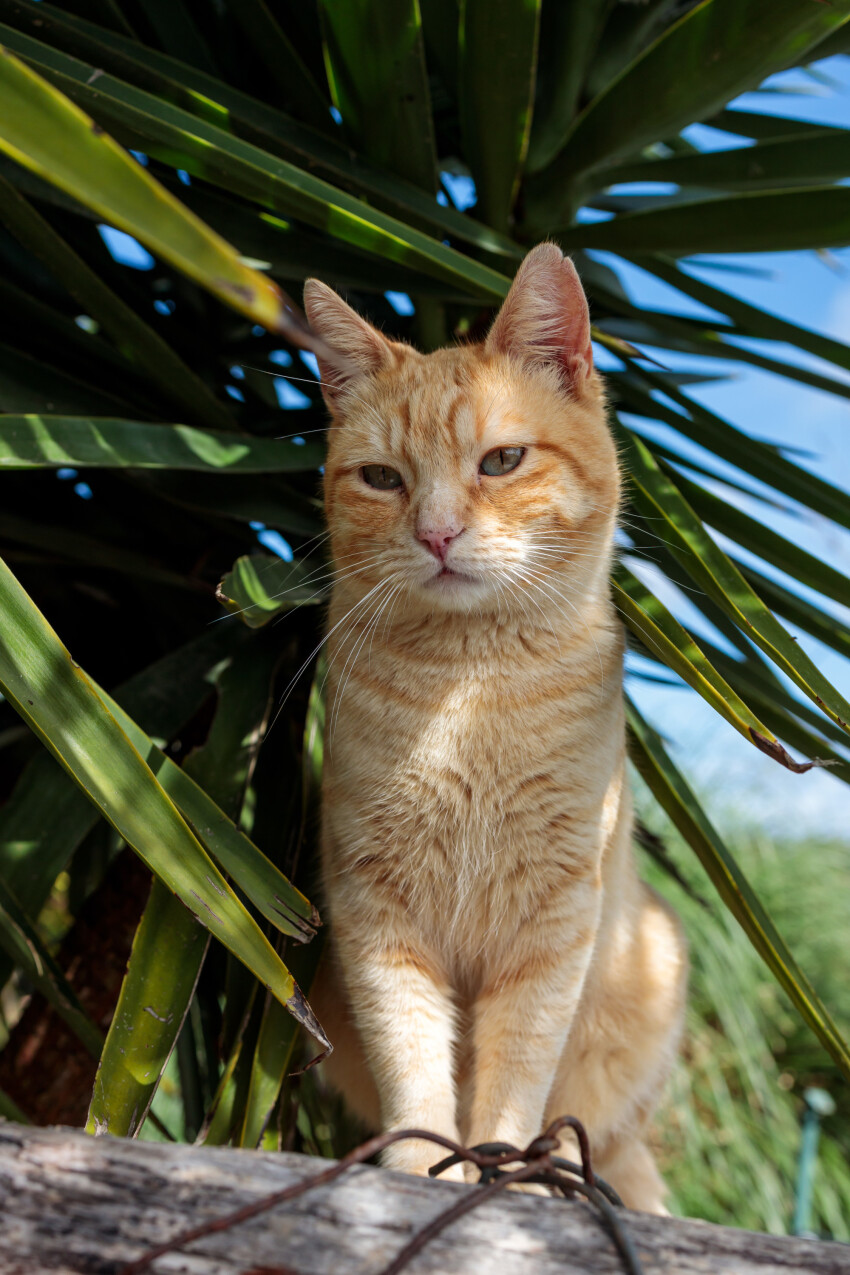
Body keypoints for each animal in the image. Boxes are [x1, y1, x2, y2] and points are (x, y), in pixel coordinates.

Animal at [302, 243, 688, 1208]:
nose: (438, 534)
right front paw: (417, 1172)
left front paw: (506, 1179)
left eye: (503, 460)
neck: (471, 693)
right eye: (382, 478)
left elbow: (514, 1074)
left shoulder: (553, 922)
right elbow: (414, 1066)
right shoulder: (375, 911)